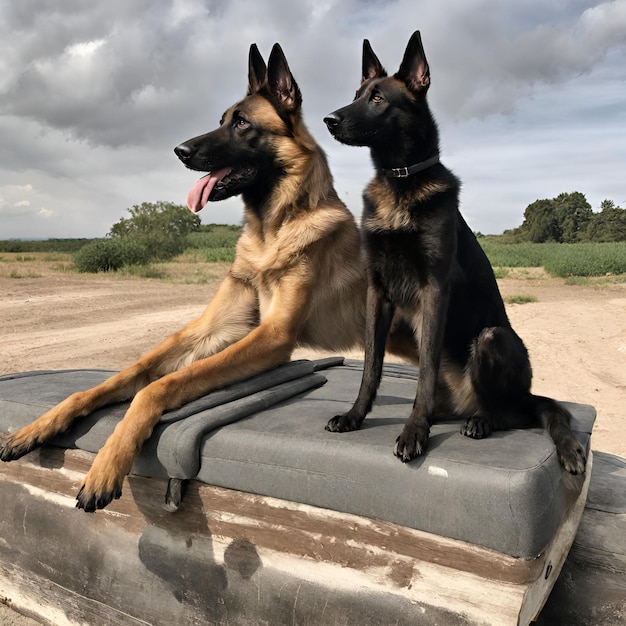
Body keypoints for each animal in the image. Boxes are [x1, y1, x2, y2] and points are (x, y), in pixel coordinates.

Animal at [322, 30, 584, 472]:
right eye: (356, 94)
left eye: (378, 98)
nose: (329, 120)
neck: (400, 182)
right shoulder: (377, 291)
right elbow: (370, 365)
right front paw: (356, 415)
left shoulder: (434, 288)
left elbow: (425, 369)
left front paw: (415, 430)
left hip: (492, 338)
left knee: (511, 413)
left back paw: (480, 420)